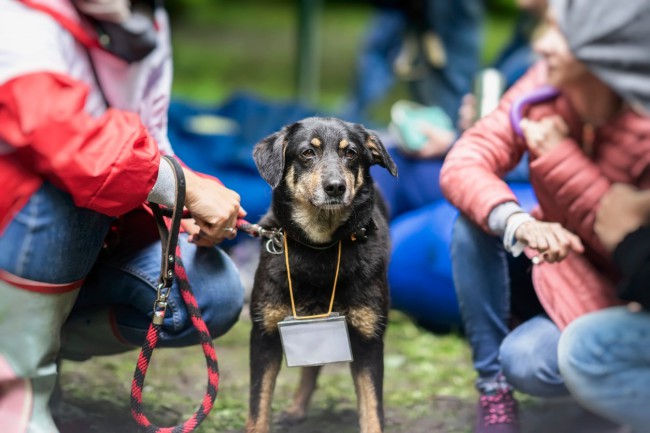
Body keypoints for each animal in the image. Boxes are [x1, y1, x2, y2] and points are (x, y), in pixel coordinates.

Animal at [246, 116, 398, 432]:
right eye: (307, 152)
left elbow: (372, 410)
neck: (319, 248)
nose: (335, 187)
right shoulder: (264, 334)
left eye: (350, 153)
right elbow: (257, 408)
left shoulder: (368, 338)